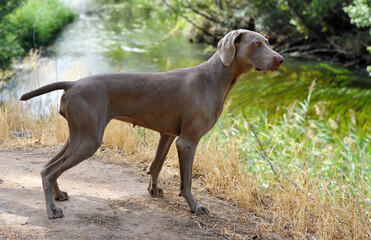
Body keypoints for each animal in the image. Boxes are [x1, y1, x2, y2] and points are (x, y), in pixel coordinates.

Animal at [20, 29, 284, 218]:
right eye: (256, 44)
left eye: (268, 41)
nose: (280, 59)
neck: (217, 77)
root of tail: (73, 83)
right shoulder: (187, 142)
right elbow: (186, 181)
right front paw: (194, 207)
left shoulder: (168, 135)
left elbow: (156, 165)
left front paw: (153, 190)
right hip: (88, 140)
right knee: (49, 171)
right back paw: (52, 211)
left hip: (78, 135)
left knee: (48, 166)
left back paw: (58, 195)